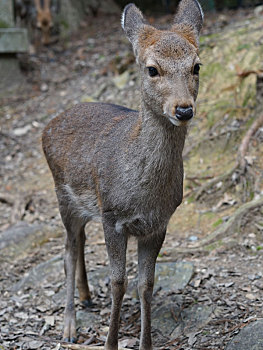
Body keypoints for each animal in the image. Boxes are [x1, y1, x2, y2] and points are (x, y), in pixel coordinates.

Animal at [42, 1, 205, 348]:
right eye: (152, 69)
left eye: (196, 66)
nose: (183, 109)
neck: (143, 193)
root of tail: (48, 125)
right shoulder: (113, 217)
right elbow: (118, 281)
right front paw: (110, 342)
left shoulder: (158, 224)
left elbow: (146, 284)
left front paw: (146, 343)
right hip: (62, 195)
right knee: (68, 250)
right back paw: (69, 325)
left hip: (84, 206)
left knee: (79, 241)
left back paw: (87, 297)